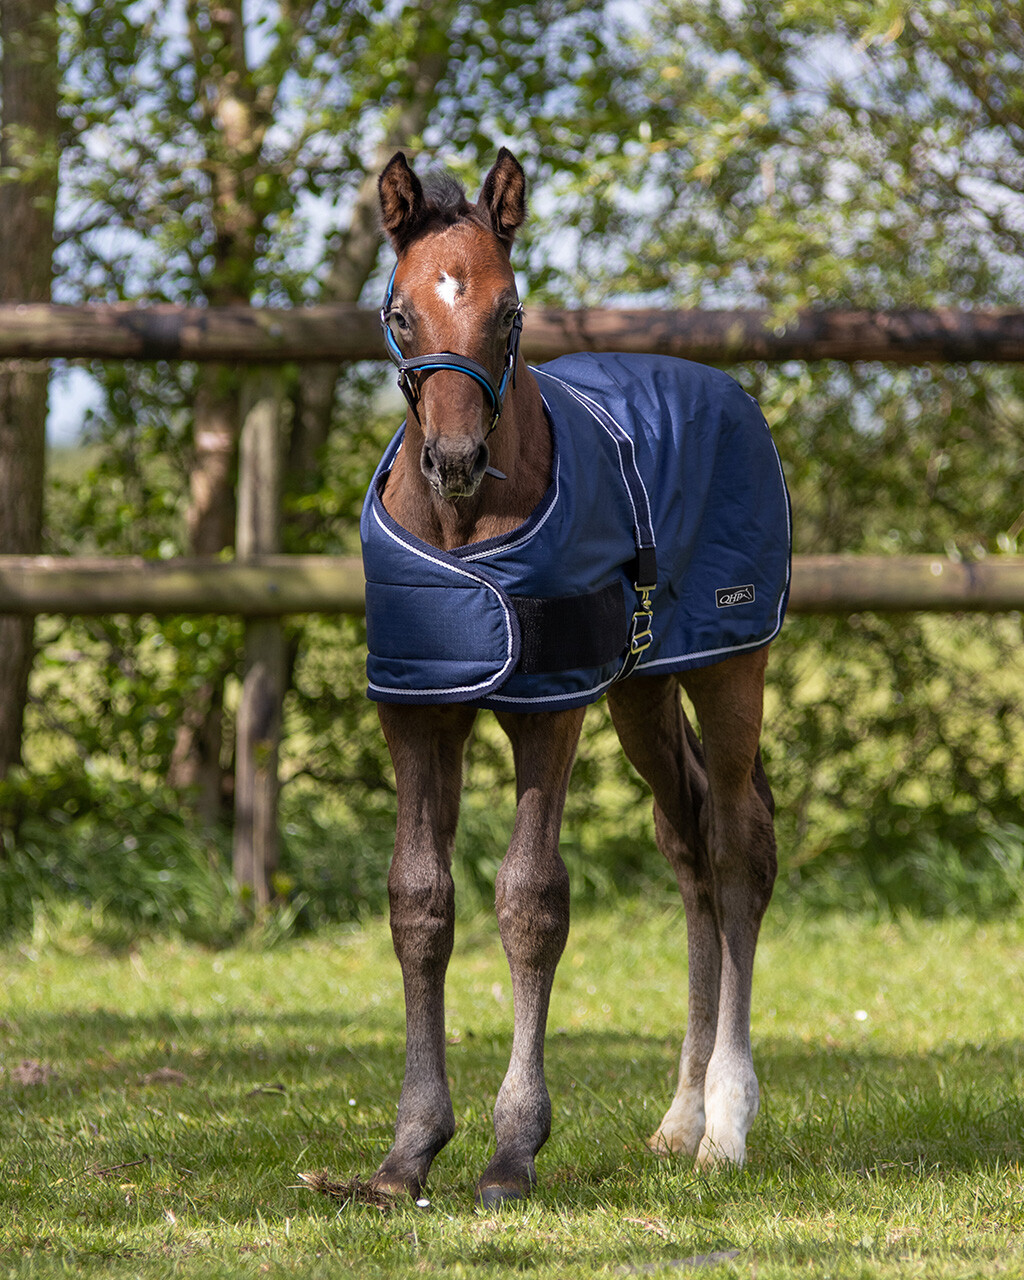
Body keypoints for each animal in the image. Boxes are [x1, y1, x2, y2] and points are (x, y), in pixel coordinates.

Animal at [360, 148, 790, 1207]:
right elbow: (419, 901)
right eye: (400, 313)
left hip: (731, 663)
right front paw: (408, 1151)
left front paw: (514, 1147)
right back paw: (679, 1120)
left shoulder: (545, 707)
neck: (463, 536)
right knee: (687, 844)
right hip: (643, 686)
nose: (457, 459)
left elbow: (530, 901)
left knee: (736, 848)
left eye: (510, 311)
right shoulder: (417, 706)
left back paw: (727, 1122)